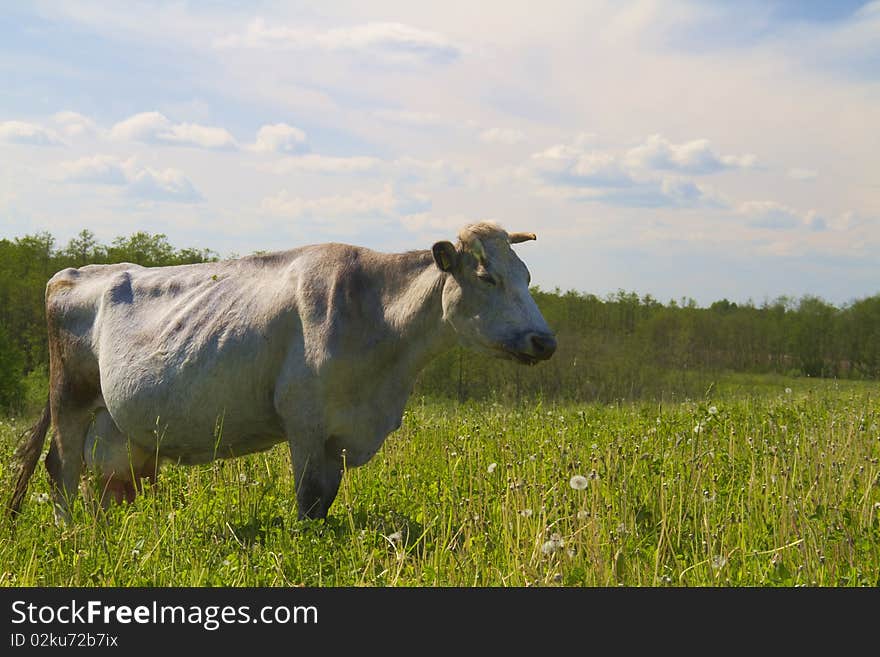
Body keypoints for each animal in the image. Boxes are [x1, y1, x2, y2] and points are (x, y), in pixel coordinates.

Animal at [8, 220, 556, 524]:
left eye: (528, 275)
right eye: (487, 275)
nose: (544, 340)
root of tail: (76, 271)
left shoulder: (339, 433)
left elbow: (325, 500)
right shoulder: (306, 421)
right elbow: (309, 500)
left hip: (115, 423)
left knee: (107, 481)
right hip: (69, 400)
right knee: (61, 470)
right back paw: (71, 534)